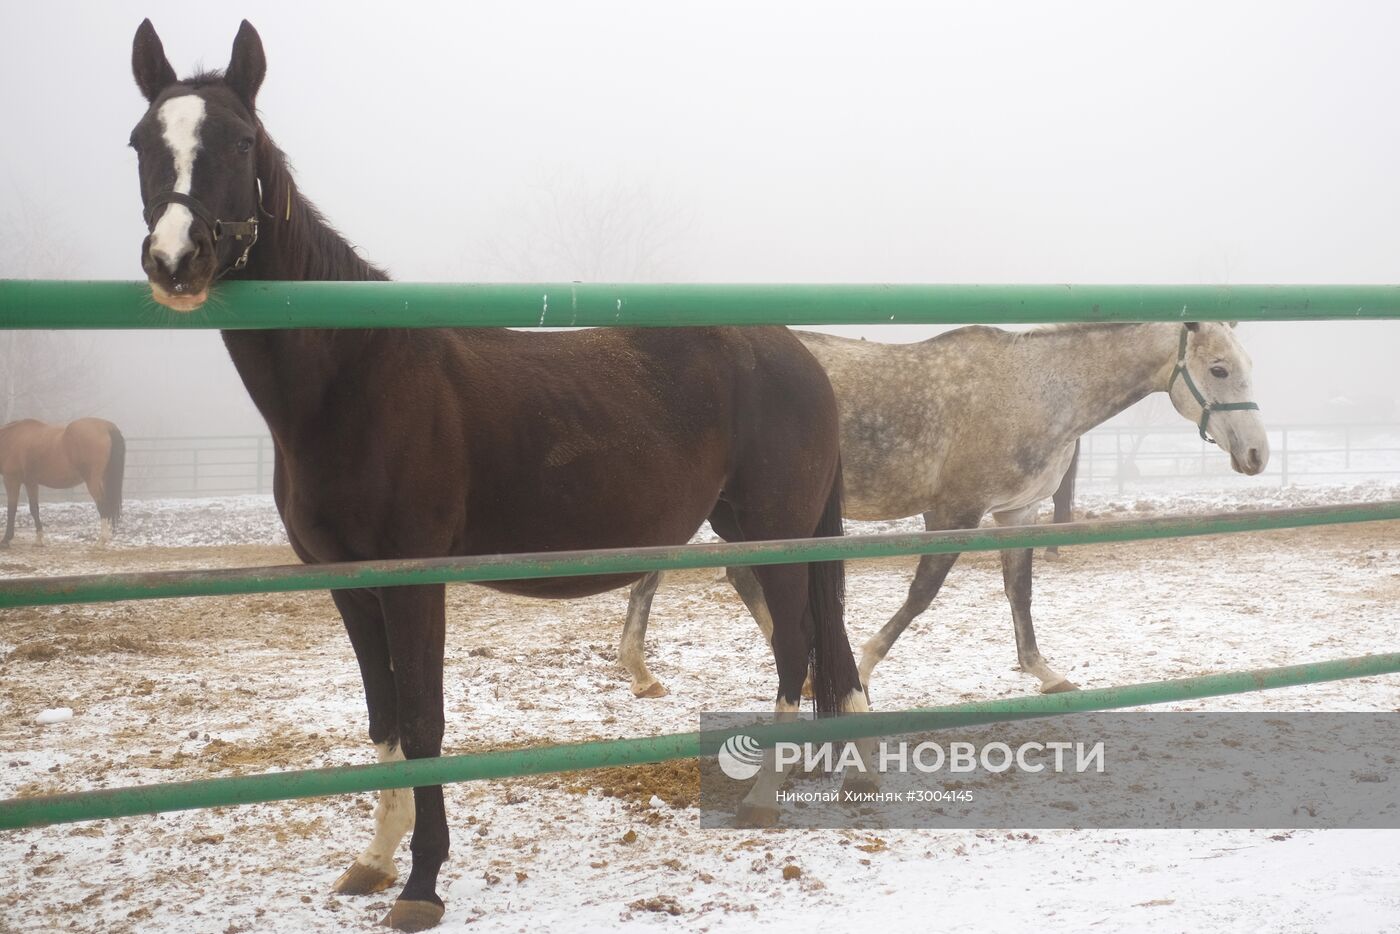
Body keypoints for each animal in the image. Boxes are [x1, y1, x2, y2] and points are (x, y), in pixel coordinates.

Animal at [0, 418, 125, 547]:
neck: (11, 438)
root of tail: (106, 426)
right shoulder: (31, 482)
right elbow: (34, 509)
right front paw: (39, 539)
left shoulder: (11, 480)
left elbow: (11, 509)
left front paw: (6, 539)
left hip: (93, 482)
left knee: (103, 506)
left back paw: (101, 541)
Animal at [129, 20, 866, 930]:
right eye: (141, 142)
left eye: (238, 140)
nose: (176, 259)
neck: (357, 378)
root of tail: (802, 356)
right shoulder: (346, 581)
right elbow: (383, 718)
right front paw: (374, 862)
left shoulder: (415, 580)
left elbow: (424, 723)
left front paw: (422, 882)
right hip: (745, 531)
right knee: (818, 648)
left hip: (777, 535)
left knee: (797, 646)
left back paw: (764, 798)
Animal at [619, 322, 1268, 698]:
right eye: (1218, 369)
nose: (1257, 454)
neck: (1034, 390)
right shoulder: (954, 511)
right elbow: (922, 593)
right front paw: (866, 669)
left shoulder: (1015, 514)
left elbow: (1019, 592)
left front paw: (1044, 672)